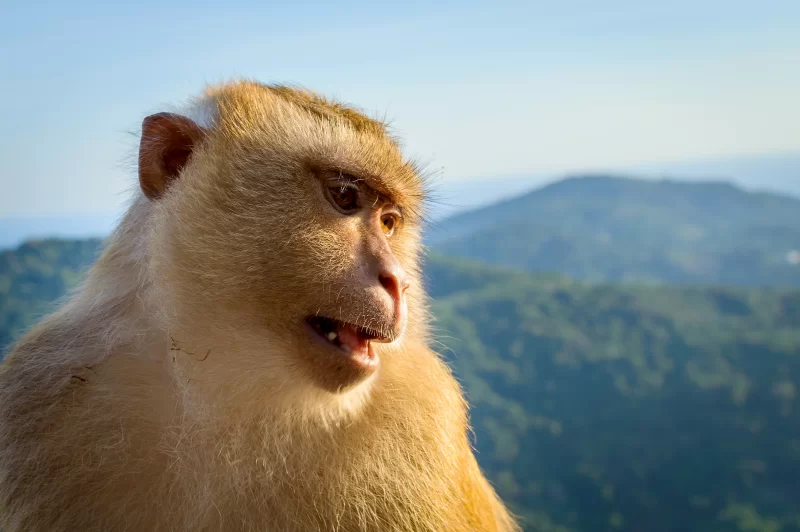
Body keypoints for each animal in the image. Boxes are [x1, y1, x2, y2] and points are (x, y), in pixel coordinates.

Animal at [0, 80, 519, 532]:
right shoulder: (38, 392)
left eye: (389, 222)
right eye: (345, 196)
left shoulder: (420, 412)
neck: (221, 392)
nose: (399, 282)